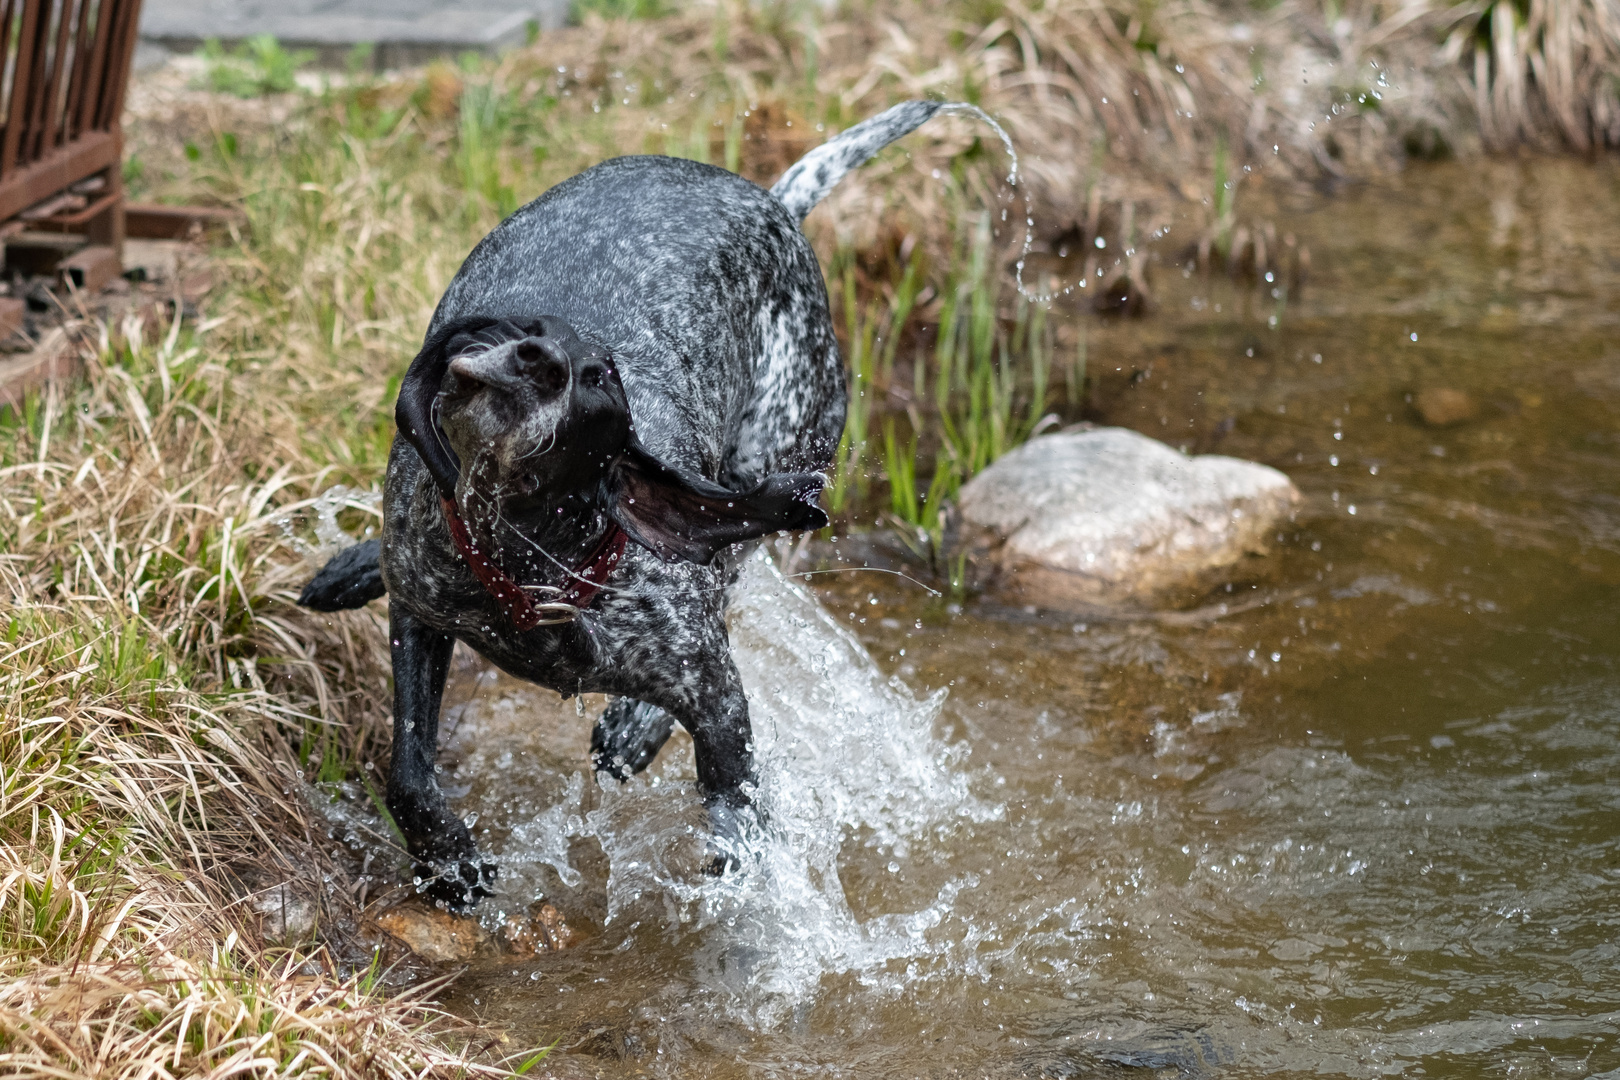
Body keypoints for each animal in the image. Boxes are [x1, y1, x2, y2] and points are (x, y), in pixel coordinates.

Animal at [301, 99, 946, 913]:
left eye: (600, 376)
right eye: (515, 331)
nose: (537, 361)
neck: (536, 561)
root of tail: (772, 203)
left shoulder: (714, 699)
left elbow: (737, 818)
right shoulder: (420, 612)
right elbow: (408, 774)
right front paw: (448, 864)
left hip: (775, 464)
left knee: (728, 570)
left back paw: (635, 726)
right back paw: (352, 570)